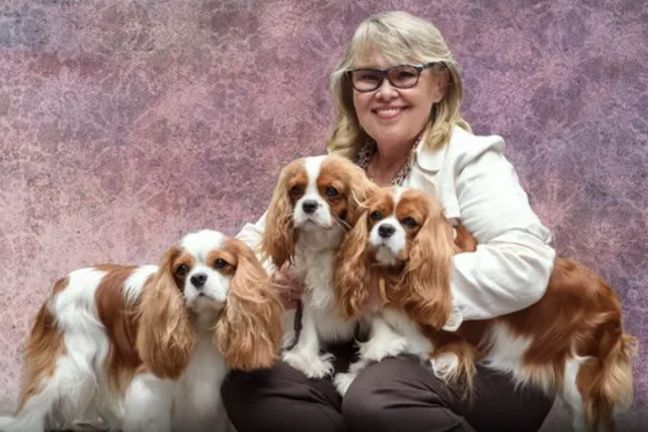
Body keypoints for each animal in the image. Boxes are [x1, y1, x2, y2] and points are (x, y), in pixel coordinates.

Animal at [0, 229, 283, 432]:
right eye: (182, 269)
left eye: (221, 263)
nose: (198, 278)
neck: (202, 324)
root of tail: (60, 283)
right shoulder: (151, 391)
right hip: (65, 364)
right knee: (34, 406)